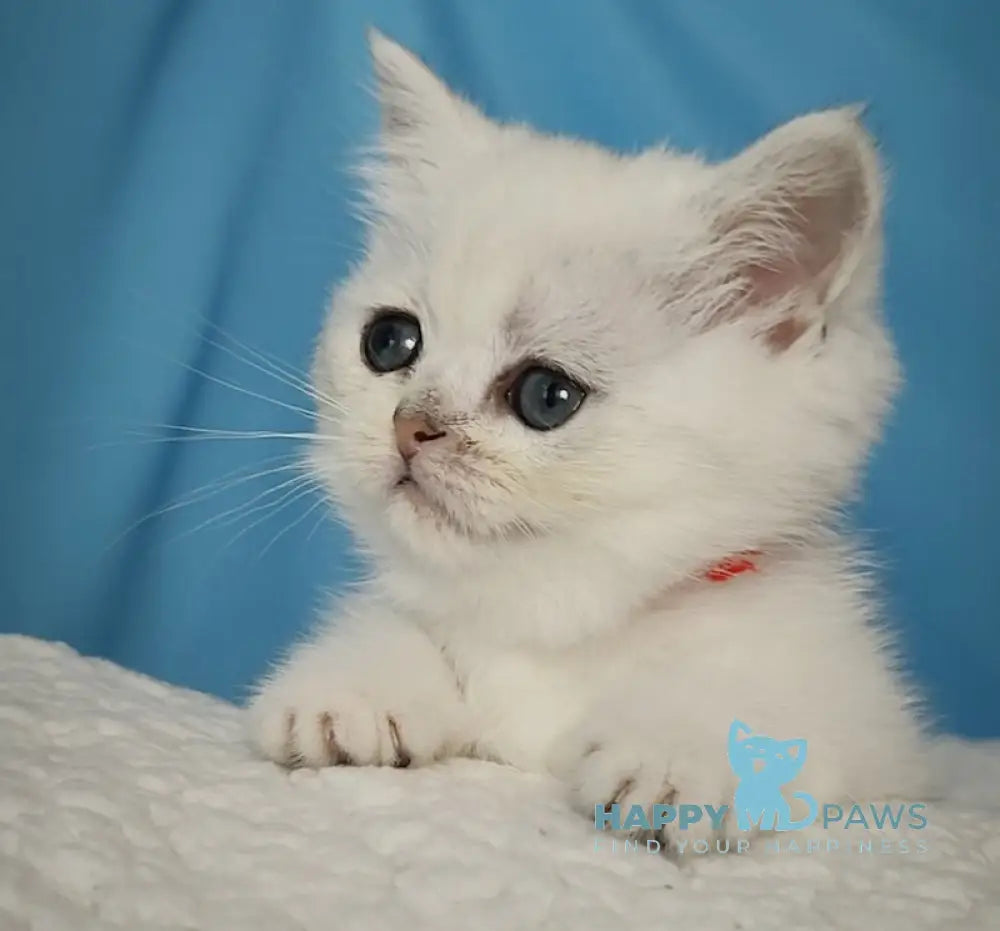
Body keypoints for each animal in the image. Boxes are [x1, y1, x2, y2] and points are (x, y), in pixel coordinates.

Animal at [248, 32, 920, 844]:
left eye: (547, 396)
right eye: (389, 342)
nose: (411, 425)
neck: (555, 621)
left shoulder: (879, 733)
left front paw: (680, 748)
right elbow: (399, 621)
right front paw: (355, 684)